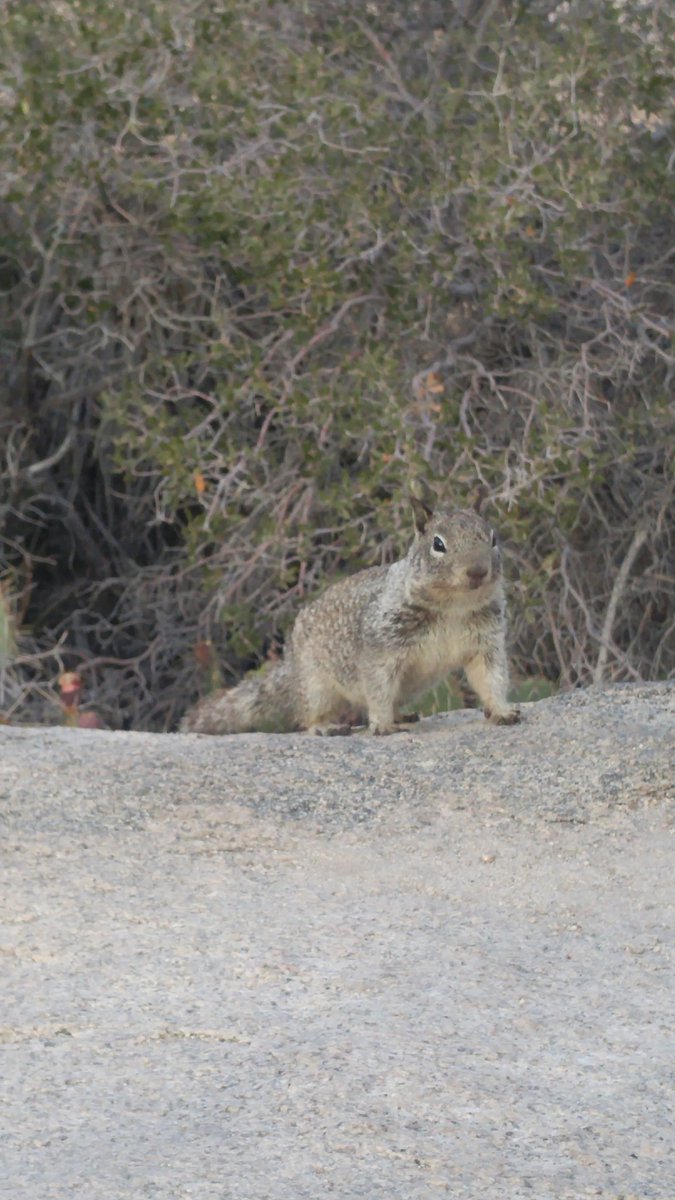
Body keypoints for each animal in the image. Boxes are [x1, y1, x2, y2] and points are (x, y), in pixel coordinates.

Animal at [180, 480, 520, 736]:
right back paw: (326, 727)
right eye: (438, 545)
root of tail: (290, 665)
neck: (453, 606)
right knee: (307, 715)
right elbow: (378, 686)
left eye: (493, 538)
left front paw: (502, 711)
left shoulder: (486, 643)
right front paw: (382, 725)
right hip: (316, 685)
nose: (477, 571)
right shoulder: (382, 647)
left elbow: (491, 678)